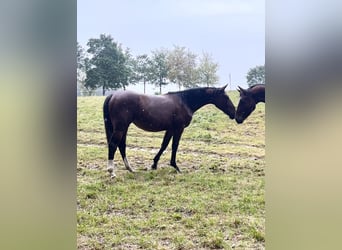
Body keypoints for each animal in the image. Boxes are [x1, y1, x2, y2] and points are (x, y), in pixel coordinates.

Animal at [101, 85, 235, 177]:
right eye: (226, 97)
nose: (234, 113)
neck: (184, 101)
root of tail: (113, 95)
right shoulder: (178, 129)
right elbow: (174, 146)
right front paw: (176, 167)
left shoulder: (170, 129)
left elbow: (164, 145)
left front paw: (154, 165)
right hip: (121, 127)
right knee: (113, 145)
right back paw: (111, 171)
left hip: (124, 127)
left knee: (121, 145)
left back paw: (130, 168)